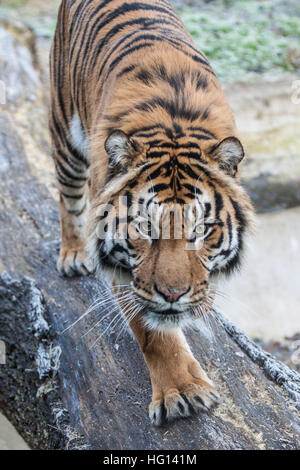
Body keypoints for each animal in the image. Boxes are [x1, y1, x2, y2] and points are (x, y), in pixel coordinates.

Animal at [49, 0, 255, 426]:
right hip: (64, 133)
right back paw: (74, 255)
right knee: (68, 198)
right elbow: (155, 333)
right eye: (144, 227)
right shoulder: (129, 273)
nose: (174, 294)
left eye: (202, 229)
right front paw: (183, 392)